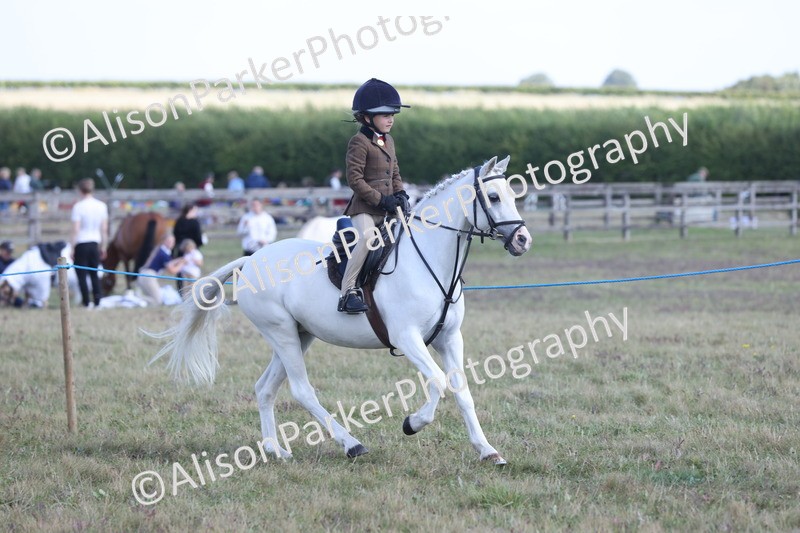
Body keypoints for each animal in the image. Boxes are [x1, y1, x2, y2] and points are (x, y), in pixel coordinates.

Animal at [149, 156, 531, 464]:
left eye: (513, 195)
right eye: (493, 197)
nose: (523, 240)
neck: (430, 260)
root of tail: (252, 259)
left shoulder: (449, 338)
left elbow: (461, 389)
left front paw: (488, 451)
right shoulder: (407, 339)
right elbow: (438, 382)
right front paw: (412, 424)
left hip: (298, 335)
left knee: (265, 388)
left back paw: (276, 450)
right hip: (281, 332)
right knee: (302, 390)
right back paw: (351, 444)